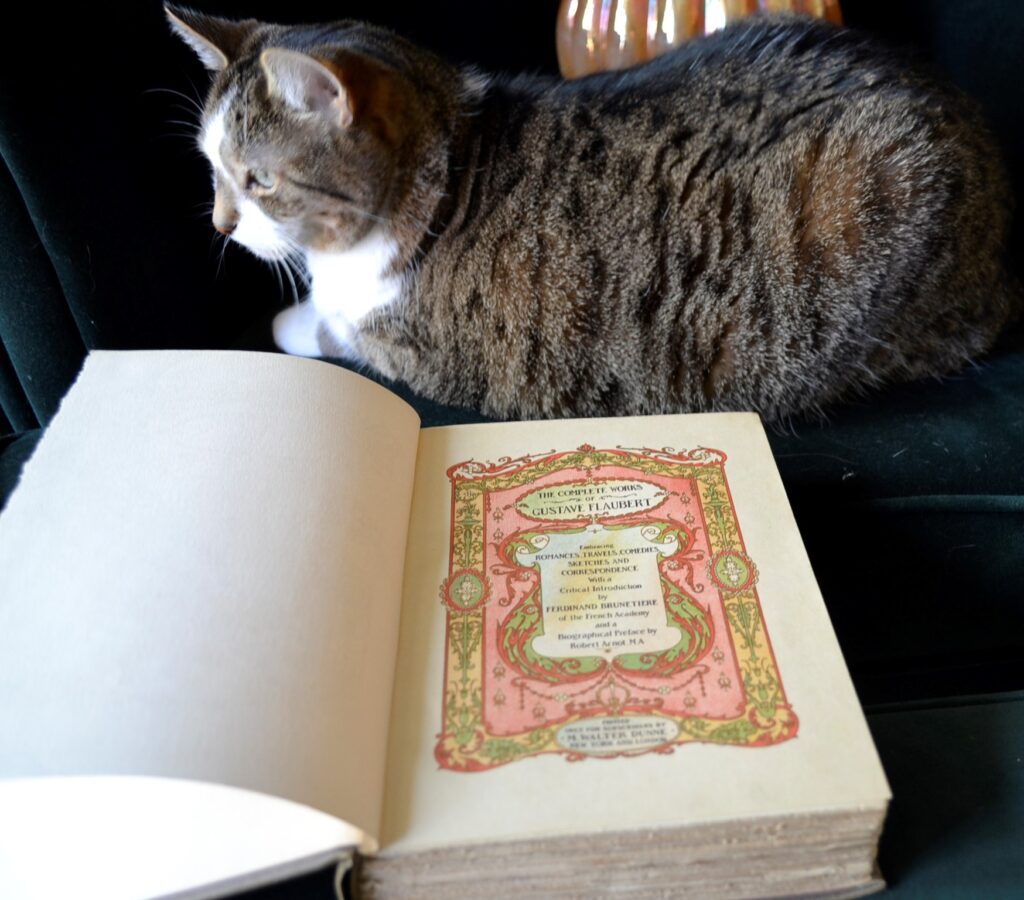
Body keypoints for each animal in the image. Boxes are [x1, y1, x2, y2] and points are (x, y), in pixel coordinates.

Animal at [165, 5, 1015, 419]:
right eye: (210, 169)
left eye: (256, 180)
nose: (219, 225)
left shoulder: (413, 351)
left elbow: (326, 330)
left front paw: (287, 320)